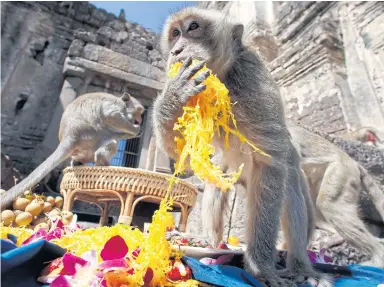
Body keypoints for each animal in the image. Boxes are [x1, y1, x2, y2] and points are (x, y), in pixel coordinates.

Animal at [0, 92, 145, 209]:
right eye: (139, 111)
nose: (140, 120)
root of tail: (69, 137)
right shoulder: (117, 105)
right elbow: (111, 115)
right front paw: (135, 130)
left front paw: (136, 132)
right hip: (92, 137)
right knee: (111, 140)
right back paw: (103, 161)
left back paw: (77, 163)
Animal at [153, 7, 328, 286]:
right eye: (175, 33)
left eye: (193, 27)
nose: (177, 51)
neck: (222, 78)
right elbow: (184, 158)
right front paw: (173, 94)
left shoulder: (250, 78)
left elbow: (269, 161)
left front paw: (260, 267)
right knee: (217, 179)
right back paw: (209, 240)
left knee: (289, 186)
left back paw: (301, 267)